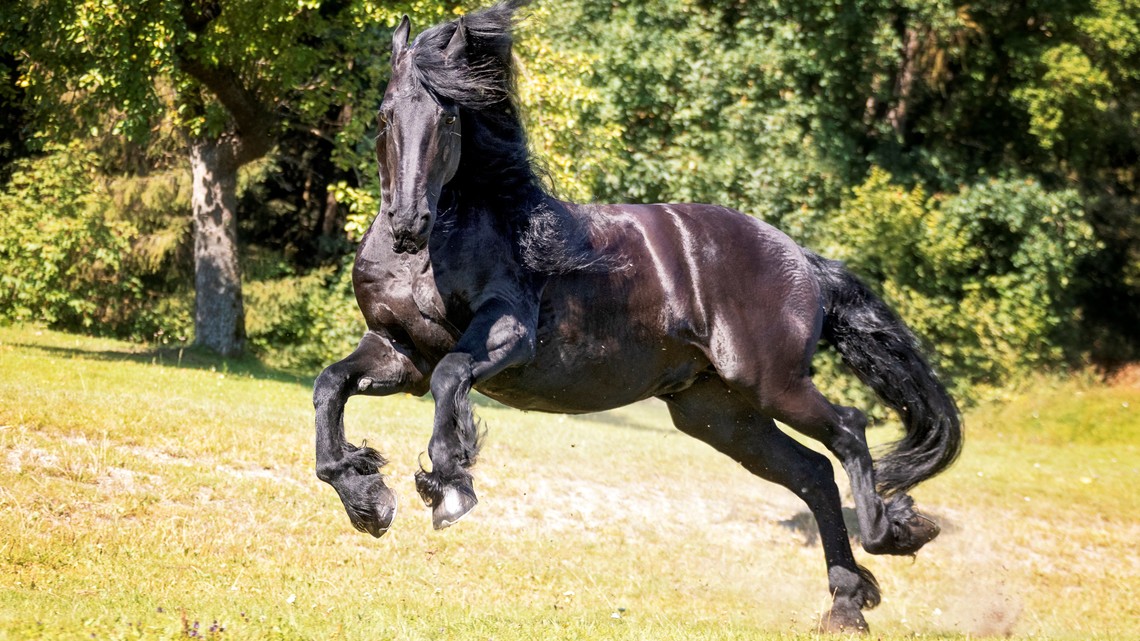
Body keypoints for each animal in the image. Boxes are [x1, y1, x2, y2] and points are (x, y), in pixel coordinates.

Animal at [314, 0, 962, 629]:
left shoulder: (506, 336)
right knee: (813, 473)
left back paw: (895, 532)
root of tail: (802, 258)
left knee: (849, 431)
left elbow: (451, 378)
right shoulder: (401, 352)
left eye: (447, 119)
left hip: (771, 384)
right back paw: (848, 604)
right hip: (718, 414)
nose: (408, 224)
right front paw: (365, 498)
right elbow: (330, 386)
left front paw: (448, 484)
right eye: (384, 116)